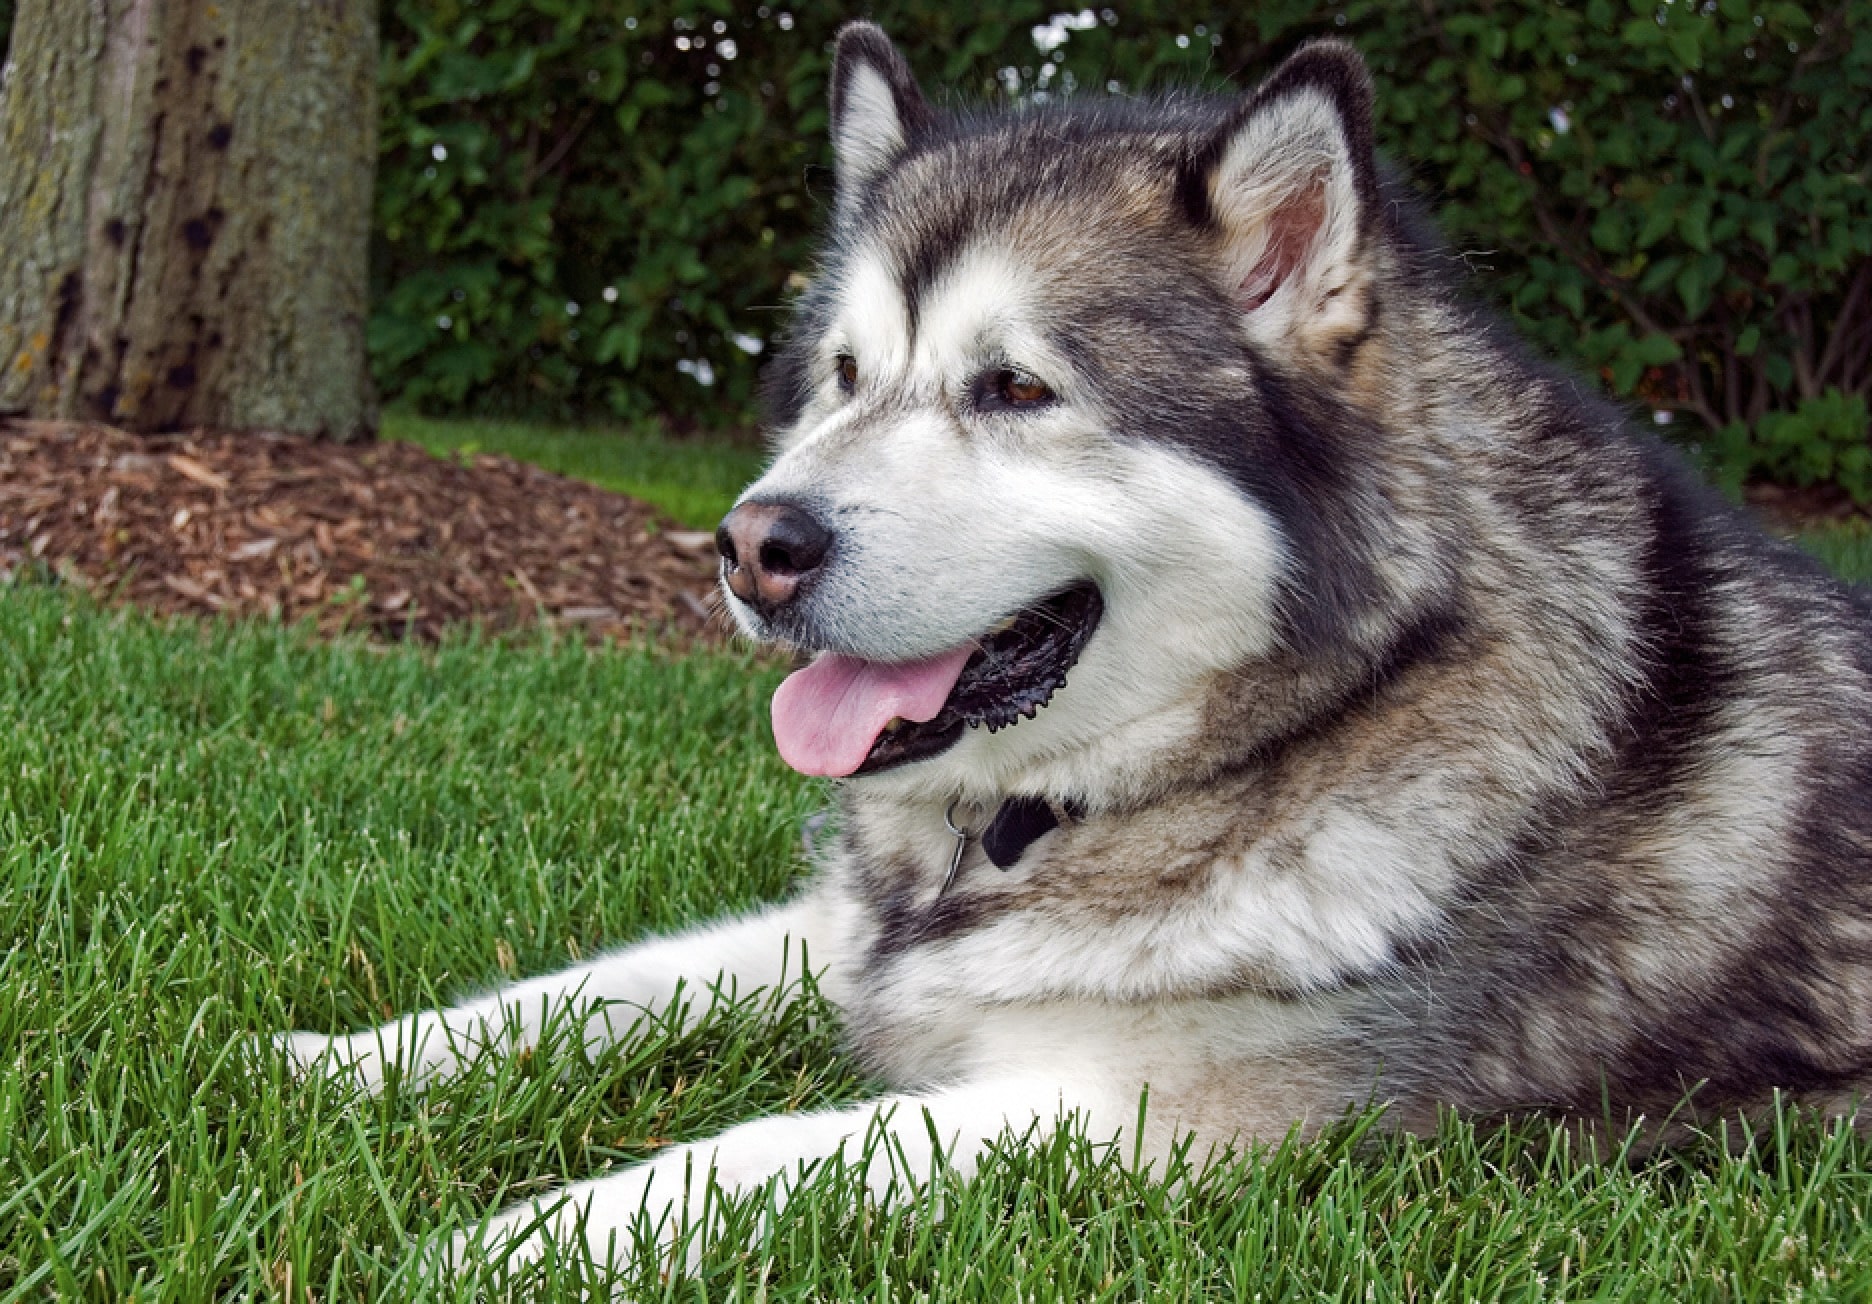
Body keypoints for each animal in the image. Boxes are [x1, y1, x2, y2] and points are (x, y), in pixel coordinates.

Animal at [273, 22, 1872, 1272]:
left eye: (1018, 388)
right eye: (843, 375)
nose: (746, 545)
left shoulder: (1154, 1115)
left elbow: (761, 1152)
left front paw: (519, 1235)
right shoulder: (855, 940)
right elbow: (609, 981)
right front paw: (336, 1062)